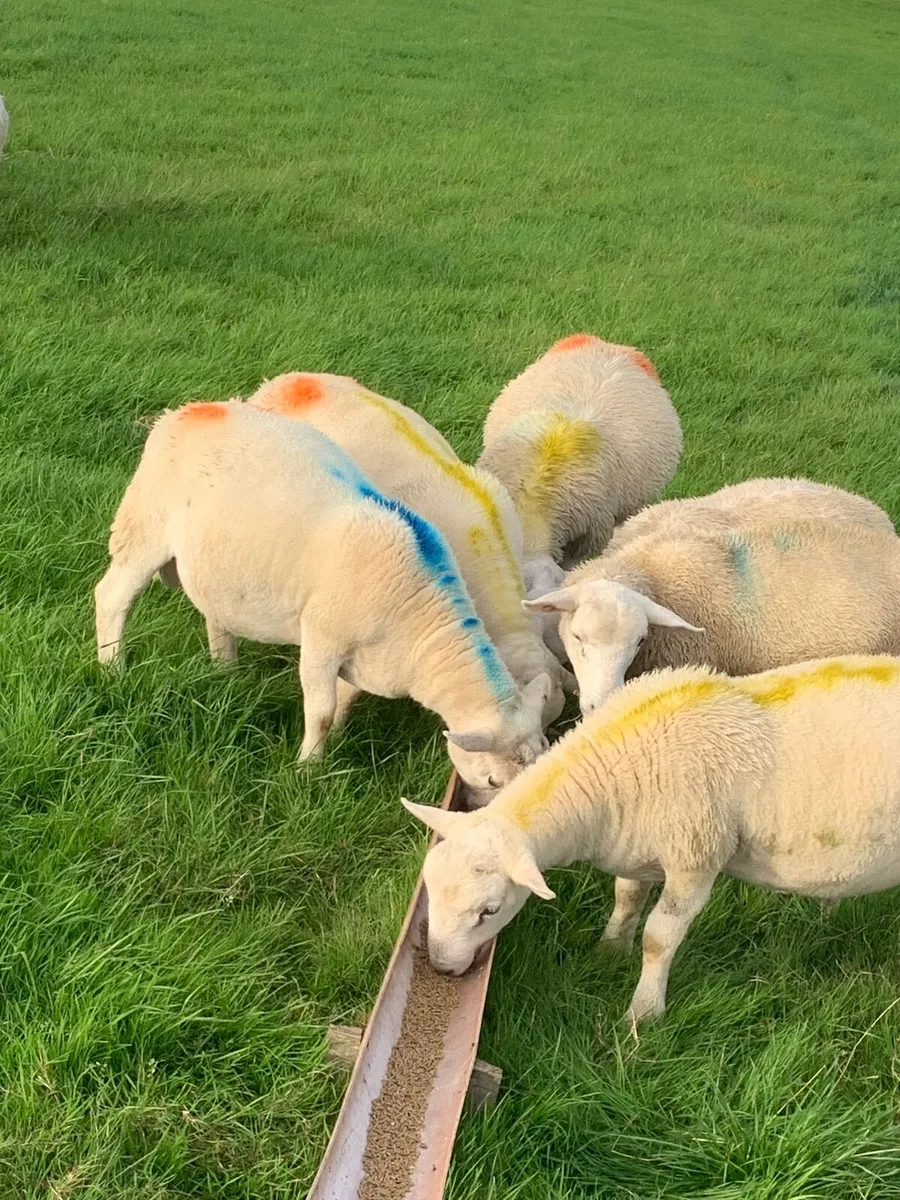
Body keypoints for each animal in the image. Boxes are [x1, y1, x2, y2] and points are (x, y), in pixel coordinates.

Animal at [94, 401, 552, 796]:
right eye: (492, 780)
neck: (418, 619)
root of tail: (190, 410)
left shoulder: (363, 658)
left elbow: (343, 702)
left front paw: (338, 742)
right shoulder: (321, 638)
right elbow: (321, 711)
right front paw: (307, 769)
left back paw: (225, 671)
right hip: (143, 523)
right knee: (112, 596)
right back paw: (112, 667)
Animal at [403, 655, 900, 1025]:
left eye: (489, 910)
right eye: (429, 888)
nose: (441, 968)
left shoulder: (695, 857)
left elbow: (659, 939)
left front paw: (642, 1015)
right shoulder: (638, 850)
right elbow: (626, 899)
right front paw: (608, 952)